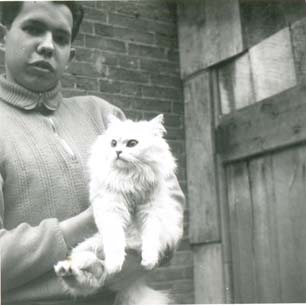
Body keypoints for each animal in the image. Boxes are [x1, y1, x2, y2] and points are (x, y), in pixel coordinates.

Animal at [54, 114, 184, 304]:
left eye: (132, 143)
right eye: (113, 143)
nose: (117, 152)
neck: (129, 178)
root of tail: (130, 284)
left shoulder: (152, 211)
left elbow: (150, 239)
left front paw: (149, 261)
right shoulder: (110, 209)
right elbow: (115, 241)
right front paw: (115, 264)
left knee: (95, 275)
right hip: (89, 247)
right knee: (90, 276)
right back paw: (68, 268)